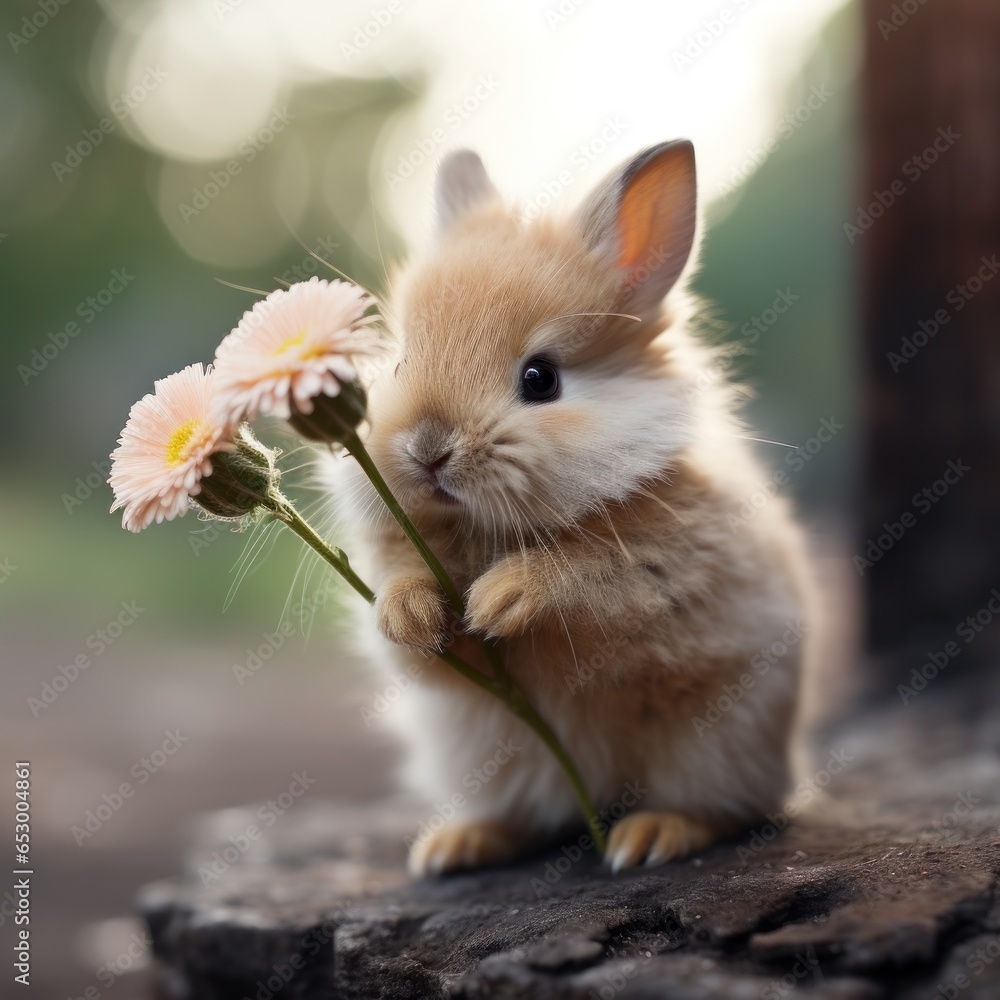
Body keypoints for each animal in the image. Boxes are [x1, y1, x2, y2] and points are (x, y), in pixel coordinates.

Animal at [336, 141, 812, 876]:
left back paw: (647, 839)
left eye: (541, 379)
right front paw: (416, 615)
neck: (485, 530)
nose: (428, 450)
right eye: (398, 365)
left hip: (715, 747)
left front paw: (495, 602)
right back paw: (451, 849)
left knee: (723, 811)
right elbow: (404, 604)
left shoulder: (664, 573)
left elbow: (585, 578)